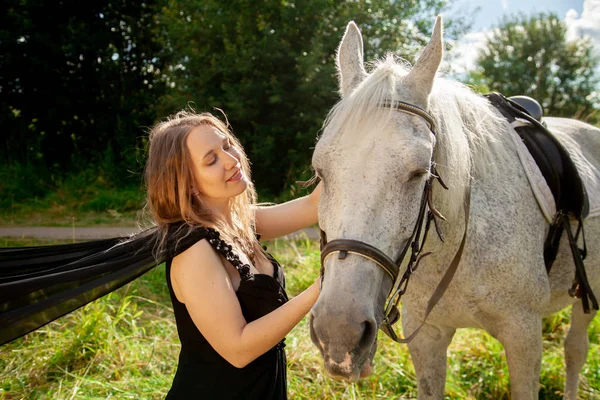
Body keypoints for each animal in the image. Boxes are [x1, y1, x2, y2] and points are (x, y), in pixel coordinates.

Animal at [310, 16, 600, 400]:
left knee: (575, 350)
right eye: (320, 171)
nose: (339, 333)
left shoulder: (523, 335)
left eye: (419, 172)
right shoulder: (427, 337)